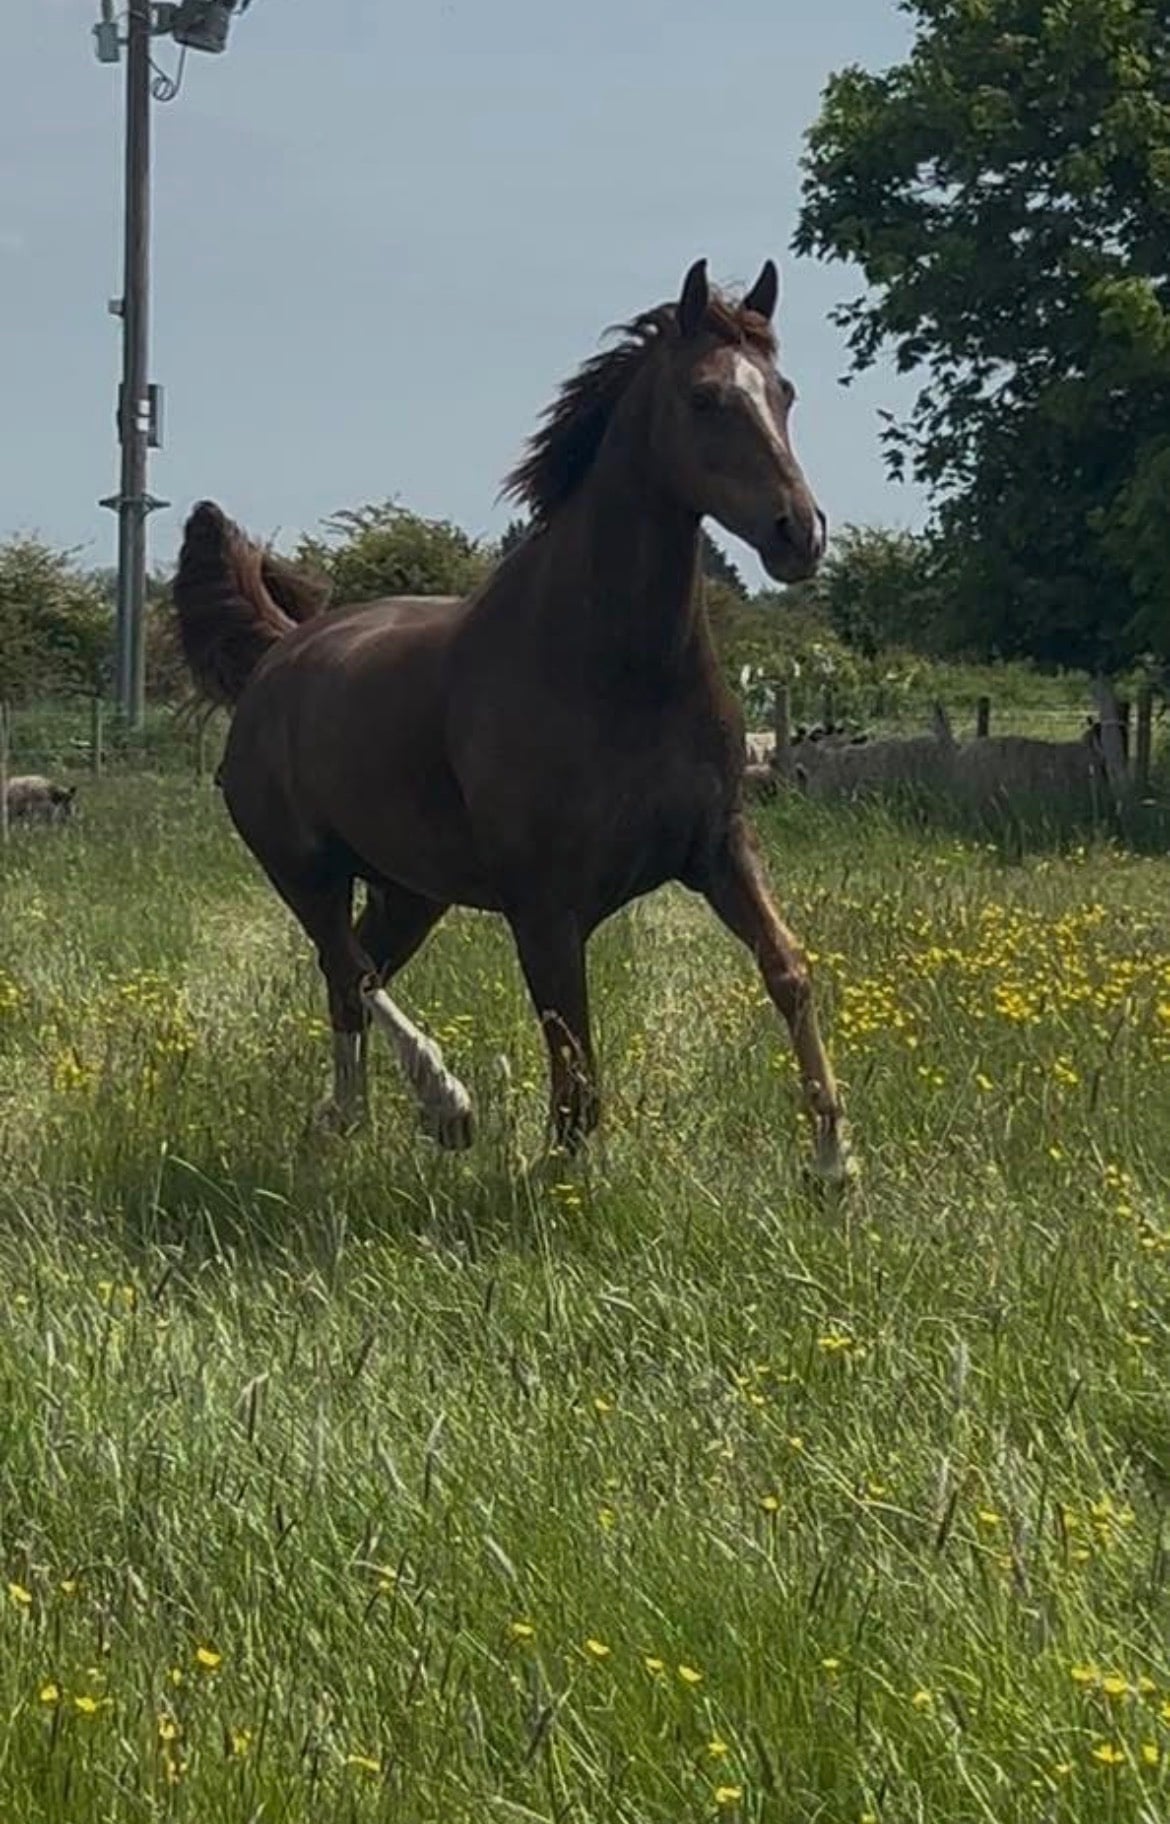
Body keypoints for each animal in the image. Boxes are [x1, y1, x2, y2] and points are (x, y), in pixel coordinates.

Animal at [173, 258, 853, 1181]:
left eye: (784, 392)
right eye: (705, 396)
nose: (799, 533)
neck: (613, 670)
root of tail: (281, 652)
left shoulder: (718, 848)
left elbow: (788, 969)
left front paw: (834, 1165)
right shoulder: (545, 908)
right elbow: (577, 1070)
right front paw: (556, 1182)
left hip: (409, 889)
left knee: (350, 973)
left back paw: (345, 1121)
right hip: (300, 865)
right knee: (348, 965)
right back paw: (443, 1103)